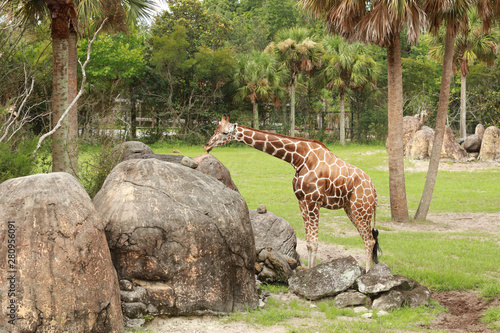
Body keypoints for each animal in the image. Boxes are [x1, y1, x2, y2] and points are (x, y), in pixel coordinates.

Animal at [205, 114, 380, 270]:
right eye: (215, 129)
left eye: (225, 132)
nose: (207, 145)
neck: (298, 159)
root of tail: (374, 190)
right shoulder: (302, 201)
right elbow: (309, 243)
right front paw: (308, 271)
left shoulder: (313, 201)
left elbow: (314, 242)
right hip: (350, 208)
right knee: (368, 239)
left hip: (361, 209)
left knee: (369, 240)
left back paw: (367, 273)